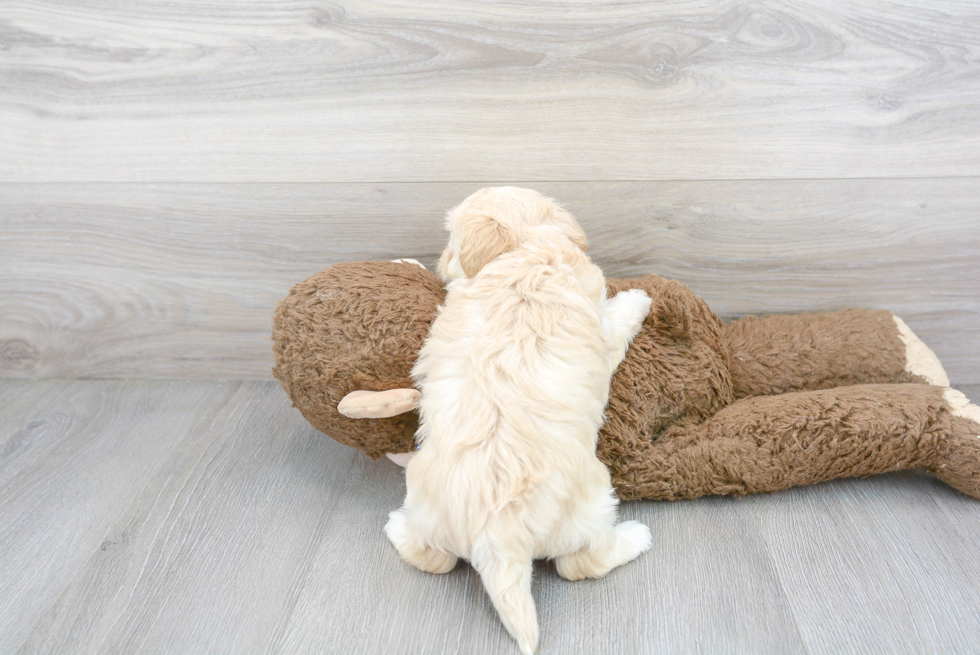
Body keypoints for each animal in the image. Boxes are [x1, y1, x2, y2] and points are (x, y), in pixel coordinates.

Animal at [386, 186, 656, 655]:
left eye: (451, 241)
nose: (439, 259)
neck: (524, 248)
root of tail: (498, 537)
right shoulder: (602, 327)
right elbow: (617, 318)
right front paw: (637, 299)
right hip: (593, 503)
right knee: (581, 564)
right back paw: (635, 538)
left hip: (423, 500)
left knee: (431, 558)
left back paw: (395, 527)